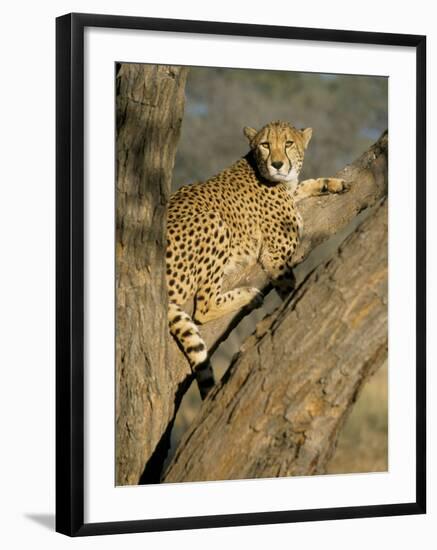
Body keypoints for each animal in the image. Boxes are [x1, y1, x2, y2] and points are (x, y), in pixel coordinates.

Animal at [165, 121, 346, 398]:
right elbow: (289, 288)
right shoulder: (274, 255)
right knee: (203, 308)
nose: (278, 164)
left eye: (288, 143)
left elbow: (305, 184)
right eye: (265, 145)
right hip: (215, 221)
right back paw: (250, 295)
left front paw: (333, 183)